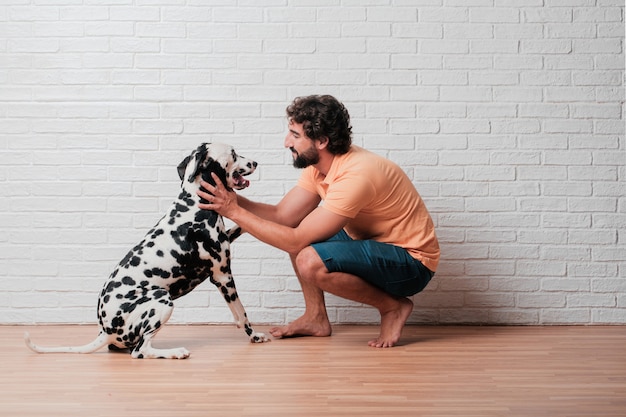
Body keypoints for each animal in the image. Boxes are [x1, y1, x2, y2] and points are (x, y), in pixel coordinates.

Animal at [24, 142, 266, 358]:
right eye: (234, 153)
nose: (255, 162)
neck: (194, 201)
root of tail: (105, 330)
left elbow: (244, 226)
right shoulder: (223, 276)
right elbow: (242, 314)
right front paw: (254, 335)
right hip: (161, 298)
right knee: (141, 351)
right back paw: (175, 352)